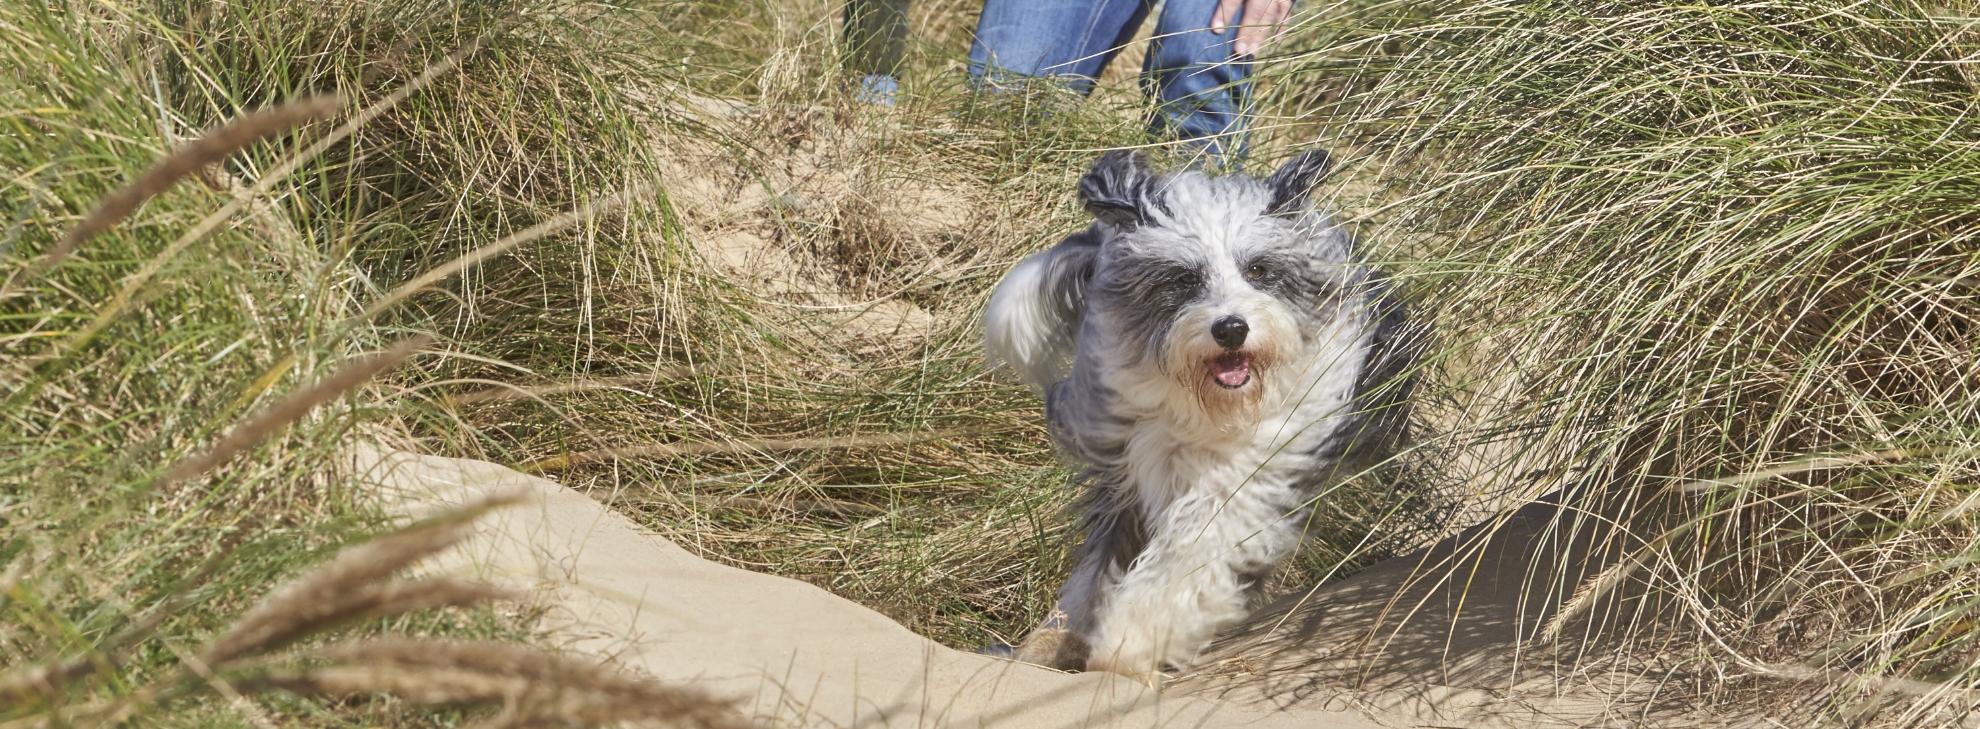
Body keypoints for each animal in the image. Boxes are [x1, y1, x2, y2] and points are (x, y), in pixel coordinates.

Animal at [978, 150, 1417, 681]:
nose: (1230, 328)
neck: (1206, 411)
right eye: (1184, 278)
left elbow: (1185, 559)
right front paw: (1052, 643)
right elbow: (1097, 571)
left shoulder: (1249, 480)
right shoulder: (1127, 473)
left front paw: (1129, 646)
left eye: (1259, 269)